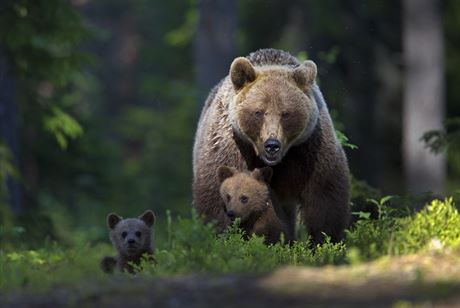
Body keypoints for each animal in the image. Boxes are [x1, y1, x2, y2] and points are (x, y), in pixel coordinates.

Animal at [192, 48, 350, 243]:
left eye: (286, 113)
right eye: (258, 112)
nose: (272, 145)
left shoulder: (310, 149)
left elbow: (325, 196)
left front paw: (325, 240)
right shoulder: (231, 145)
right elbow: (216, 193)